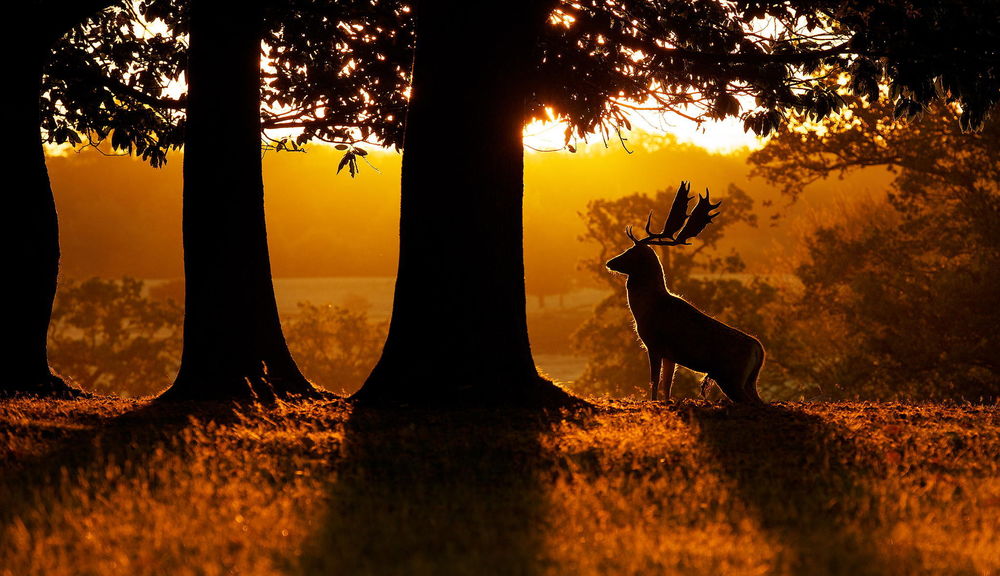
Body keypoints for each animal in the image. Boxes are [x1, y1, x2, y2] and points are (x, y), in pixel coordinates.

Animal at [606, 181, 765, 405]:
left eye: (630, 252)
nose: (609, 262)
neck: (646, 308)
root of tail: (759, 349)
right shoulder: (671, 355)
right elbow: (667, 384)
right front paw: (666, 401)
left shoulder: (654, 344)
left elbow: (654, 381)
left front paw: (653, 402)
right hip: (749, 380)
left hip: (731, 377)